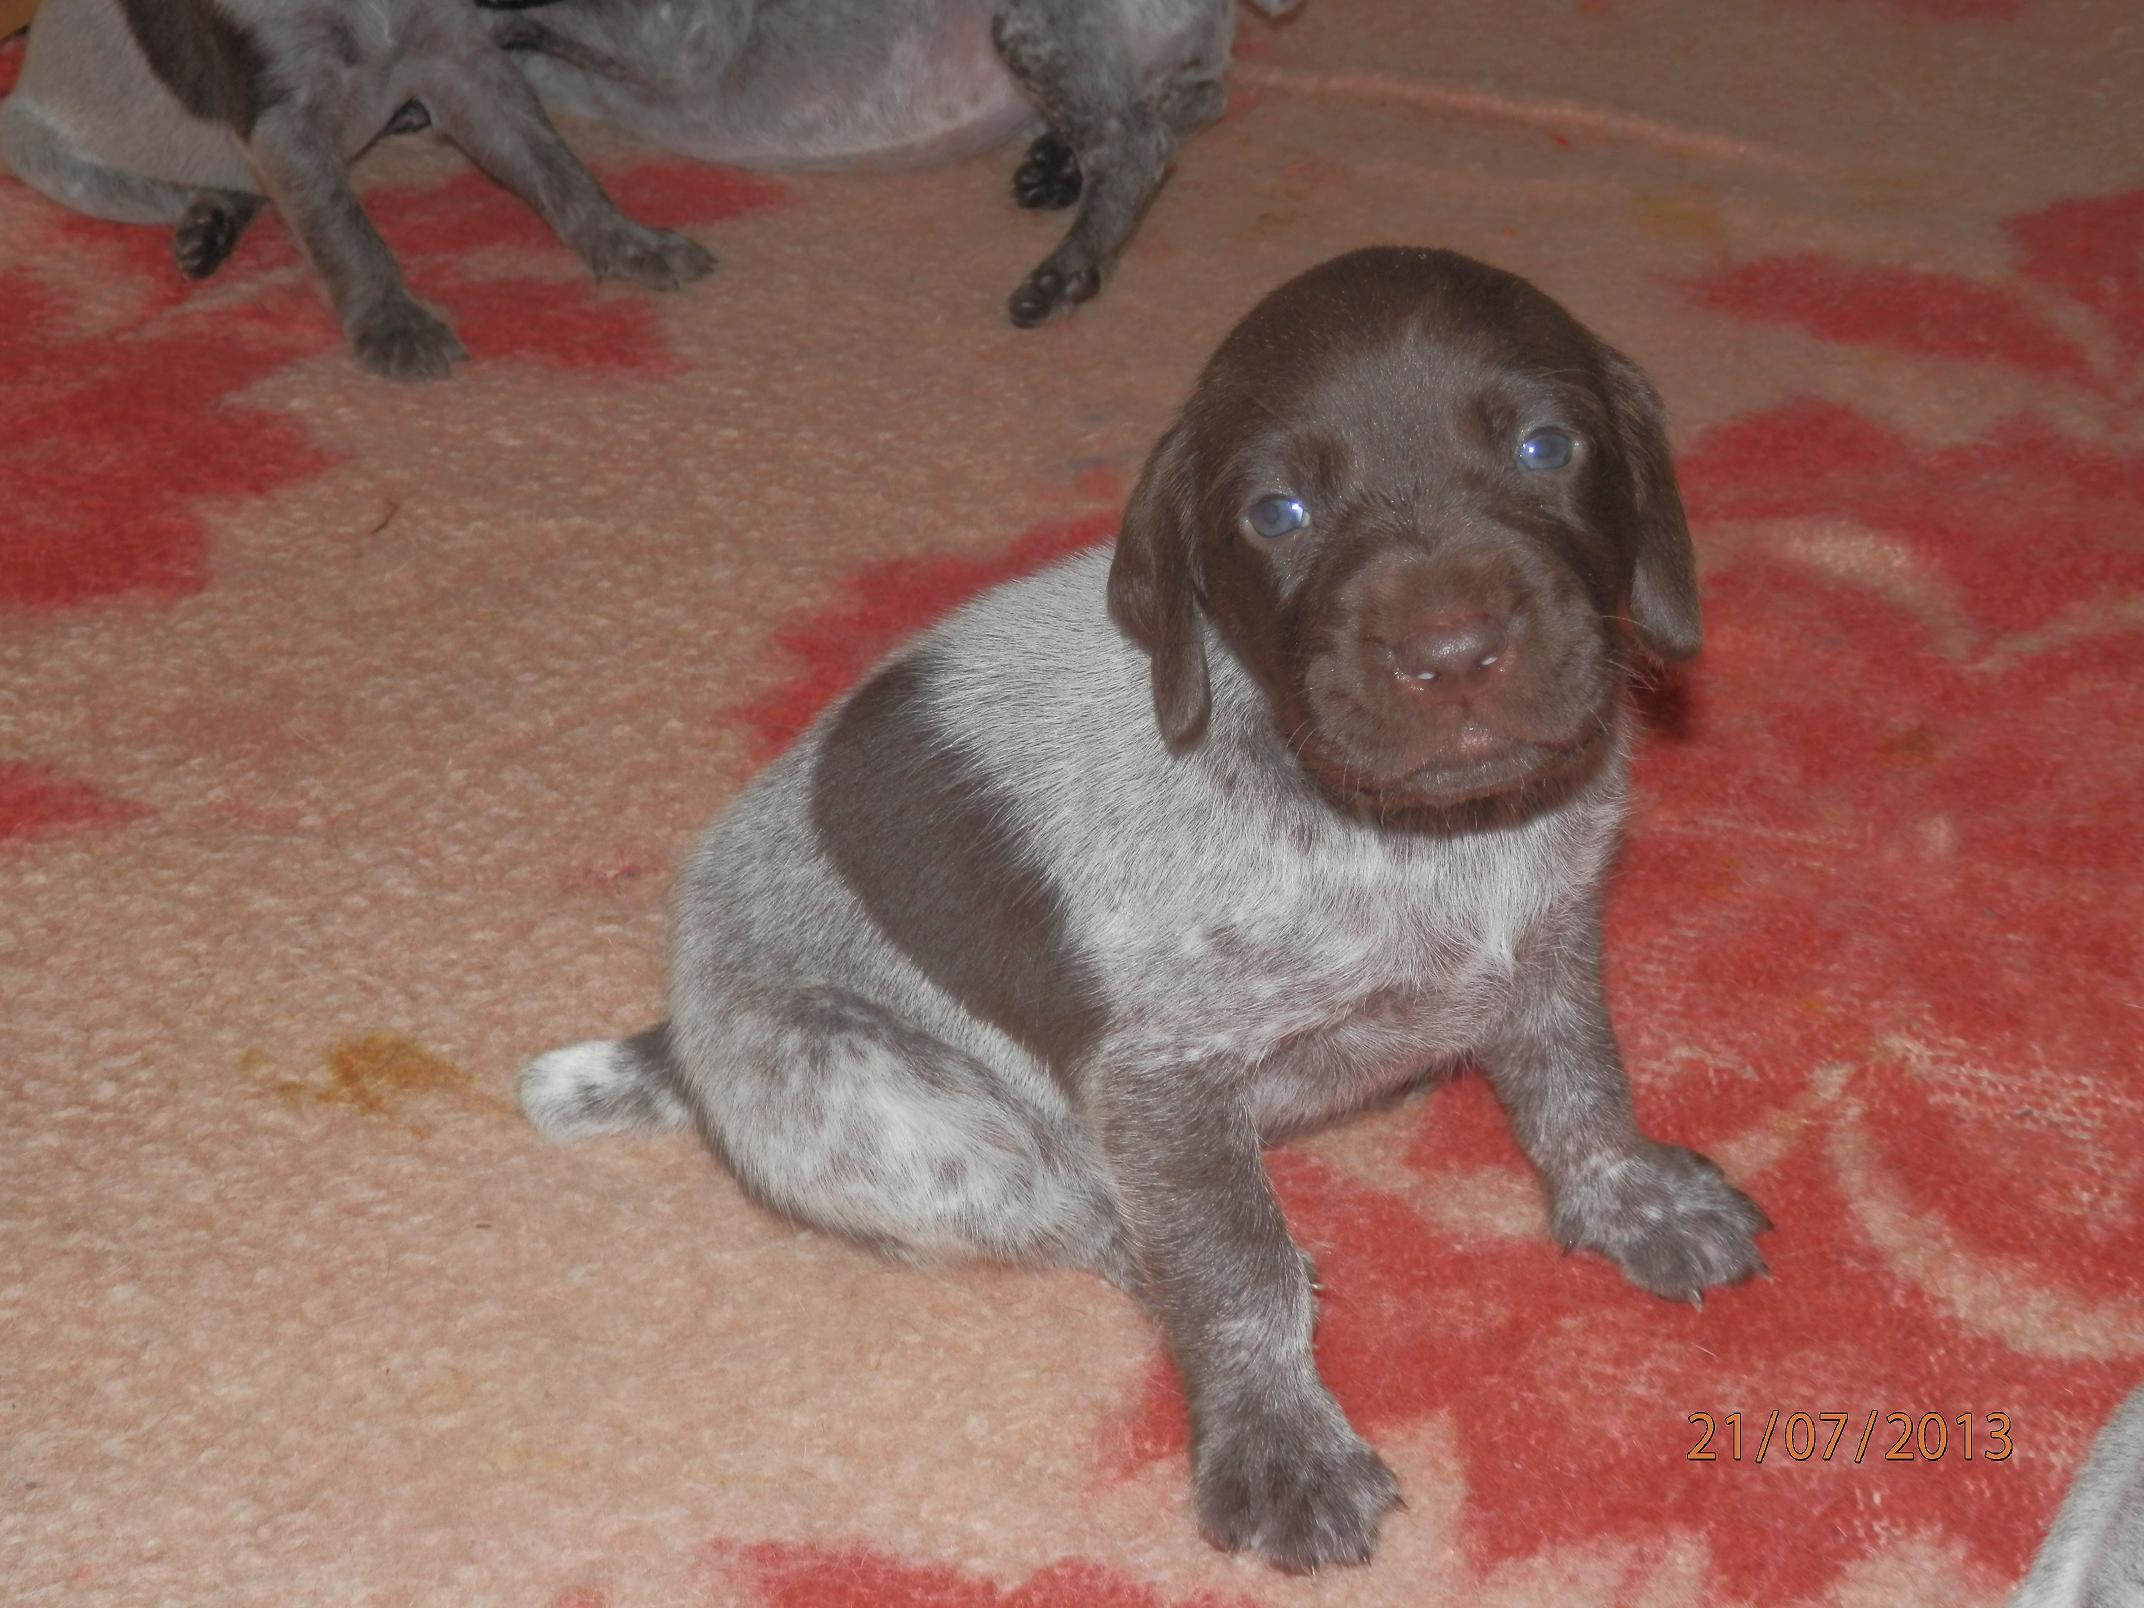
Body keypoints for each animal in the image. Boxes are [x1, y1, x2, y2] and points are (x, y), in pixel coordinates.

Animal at [0, 0, 713, 378]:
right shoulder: (281, 117)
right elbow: (344, 231)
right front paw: (392, 323)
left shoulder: (459, 59)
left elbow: (557, 168)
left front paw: (629, 244)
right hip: (62, 161)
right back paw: (208, 223)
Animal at [489, 0, 1300, 326]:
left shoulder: (682, 39)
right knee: (1182, 106)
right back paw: (1055, 165)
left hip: (1033, 26)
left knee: (1134, 144)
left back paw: (1069, 268)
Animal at [520, 247, 1770, 1572]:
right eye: (1275, 514)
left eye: (1544, 447)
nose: (1451, 652)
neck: (1422, 836)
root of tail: (680, 1036)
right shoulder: (1161, 1080)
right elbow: (1232, 1269)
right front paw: (1275, 1437)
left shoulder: (1547, 944)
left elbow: (1579, 1088)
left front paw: (1628, 1196)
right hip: (895, 1112)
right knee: (1078, 1205)